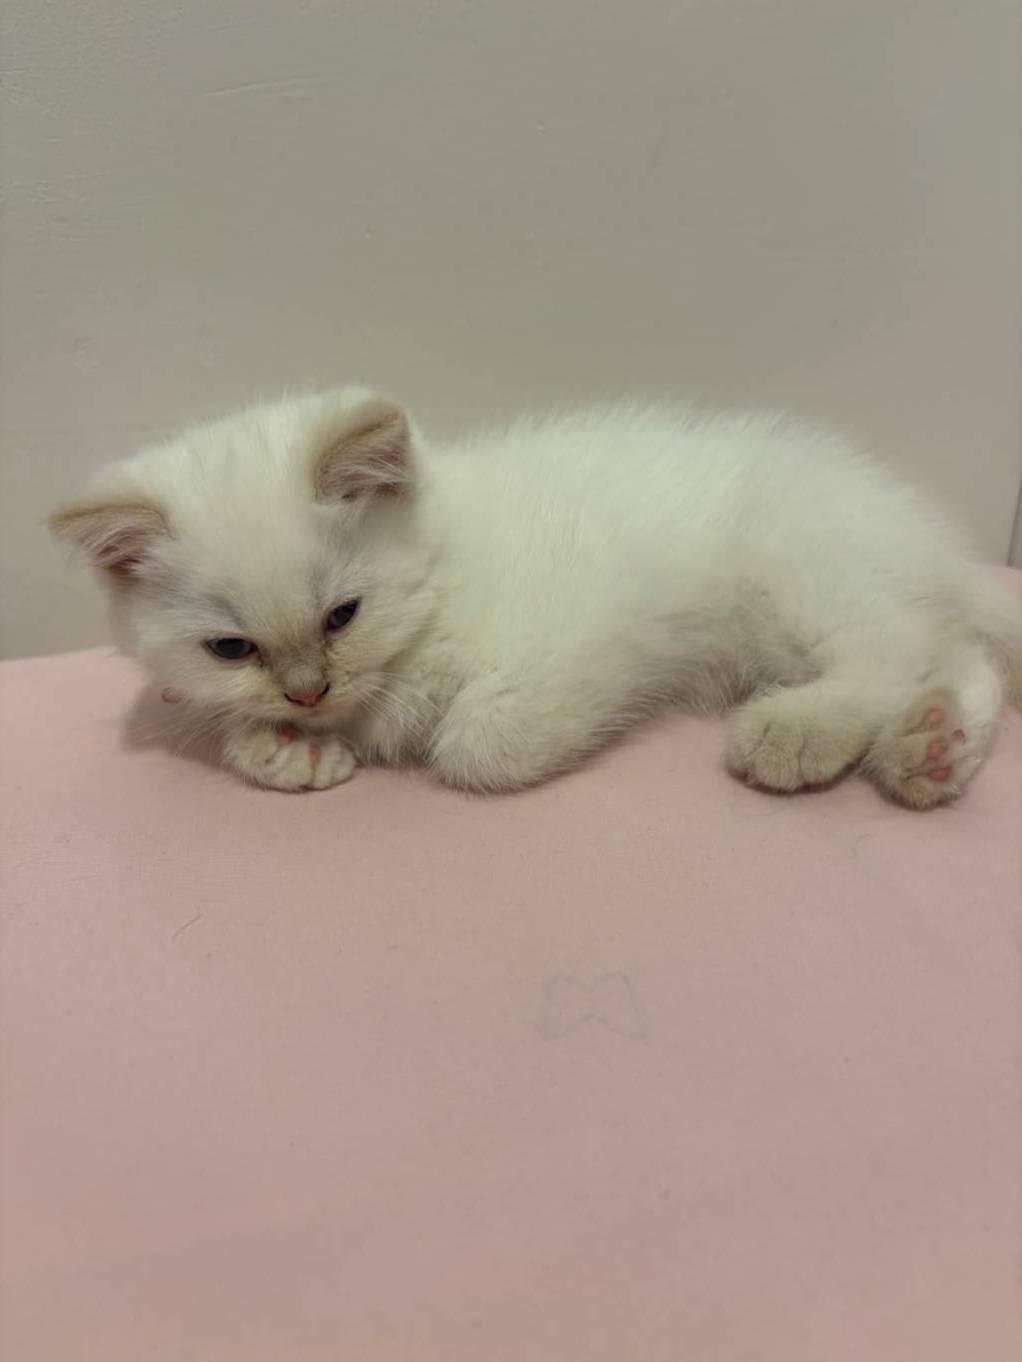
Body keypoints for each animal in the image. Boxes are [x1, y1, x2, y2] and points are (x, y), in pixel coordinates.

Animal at [50, 387, 1022, 806]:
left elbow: (480, 742)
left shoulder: (595, 624)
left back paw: (804, 732)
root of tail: (921, 531)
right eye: (232, 649)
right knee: (957, 650)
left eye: (342, 616)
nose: (307, 692)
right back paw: (932, 750)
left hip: (803, 574)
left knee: (890, 651)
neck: (440, 580)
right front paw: (284, 749)